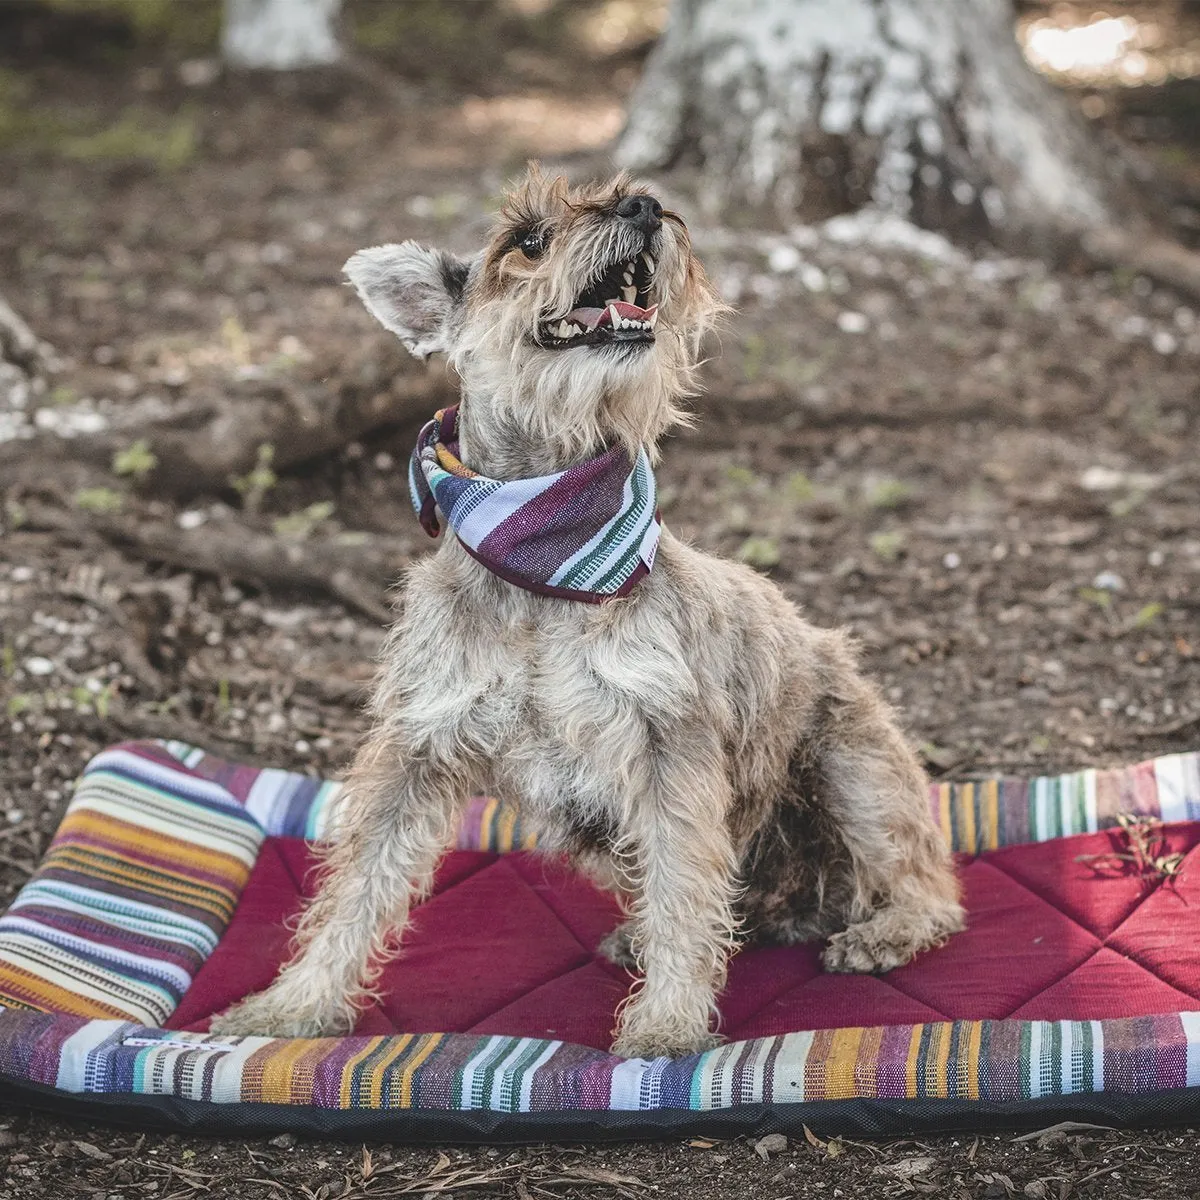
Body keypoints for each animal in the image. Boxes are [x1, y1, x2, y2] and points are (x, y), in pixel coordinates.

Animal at [213, 169, 964, 1060]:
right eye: (528, 240)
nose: (644, 206)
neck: (545, 559)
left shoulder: (668, 744)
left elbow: (682, 882)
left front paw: (667, 1022)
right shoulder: (421, 741)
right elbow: (358, 884)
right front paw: (288, 1007)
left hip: (853, 771)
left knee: (927, 884)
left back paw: (883, 931)